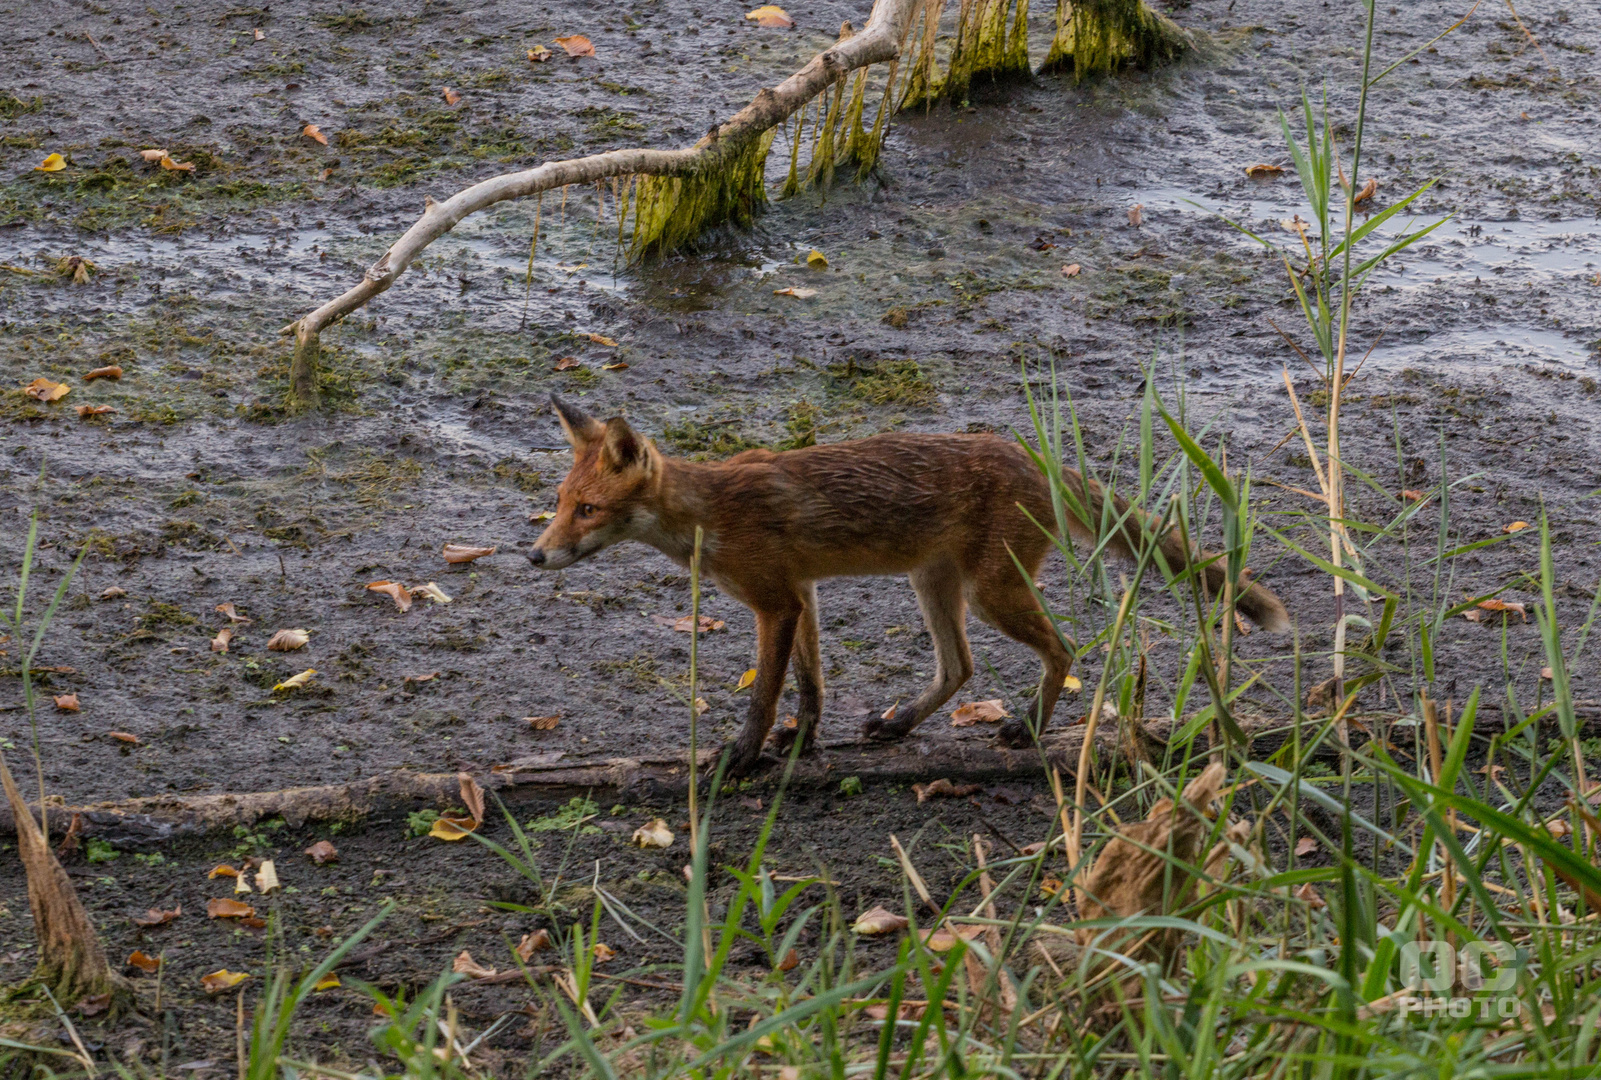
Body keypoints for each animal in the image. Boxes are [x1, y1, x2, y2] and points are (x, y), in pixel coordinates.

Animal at [531, 396, 1293, 777]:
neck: (710, 515)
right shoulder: (802, 595)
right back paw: (900, 723)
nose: (535, 556)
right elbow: (811, 687)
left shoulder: (773, 602)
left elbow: (765, 696)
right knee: (960, 668)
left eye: (588, 510)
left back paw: (1028, 727)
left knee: (1064, 650)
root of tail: (1030, 454)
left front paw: (743, 756)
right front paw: (802, 744)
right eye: (560, 503)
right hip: (932, 584)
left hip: (989, 594)